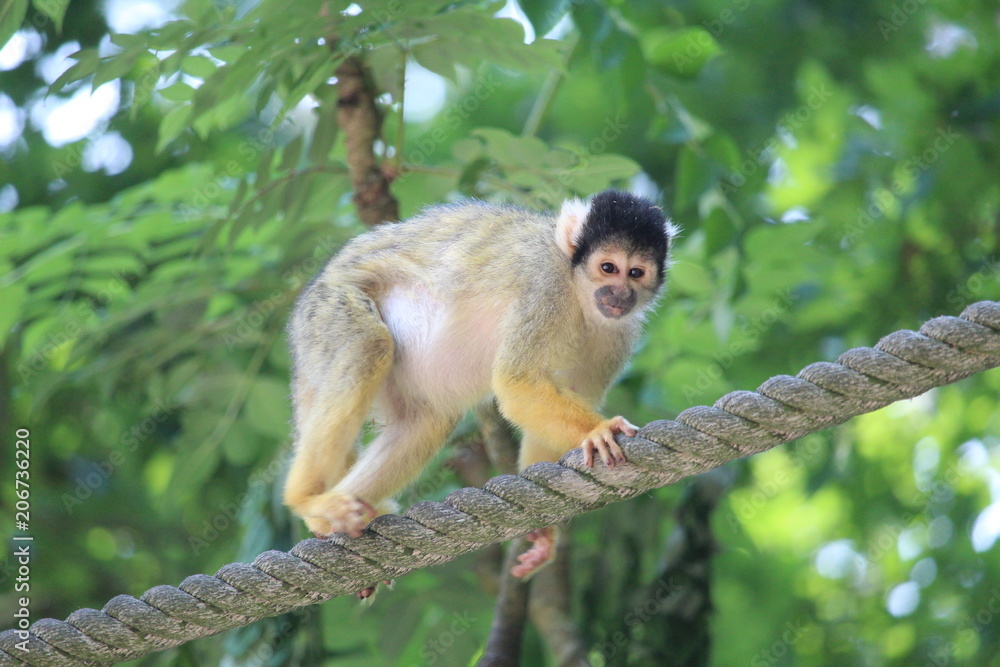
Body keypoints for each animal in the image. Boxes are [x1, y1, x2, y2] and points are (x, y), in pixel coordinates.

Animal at [283, 189, 678, 581]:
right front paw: (598, 430)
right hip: (329, 312)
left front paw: (544, 533)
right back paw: (308, 501)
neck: (578, 291)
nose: (619, 294)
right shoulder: (545, 284)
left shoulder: (619, 333)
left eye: (636, 273)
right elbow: (517, 383)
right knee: (369, 345)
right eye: (608, 268)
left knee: (425, 422)